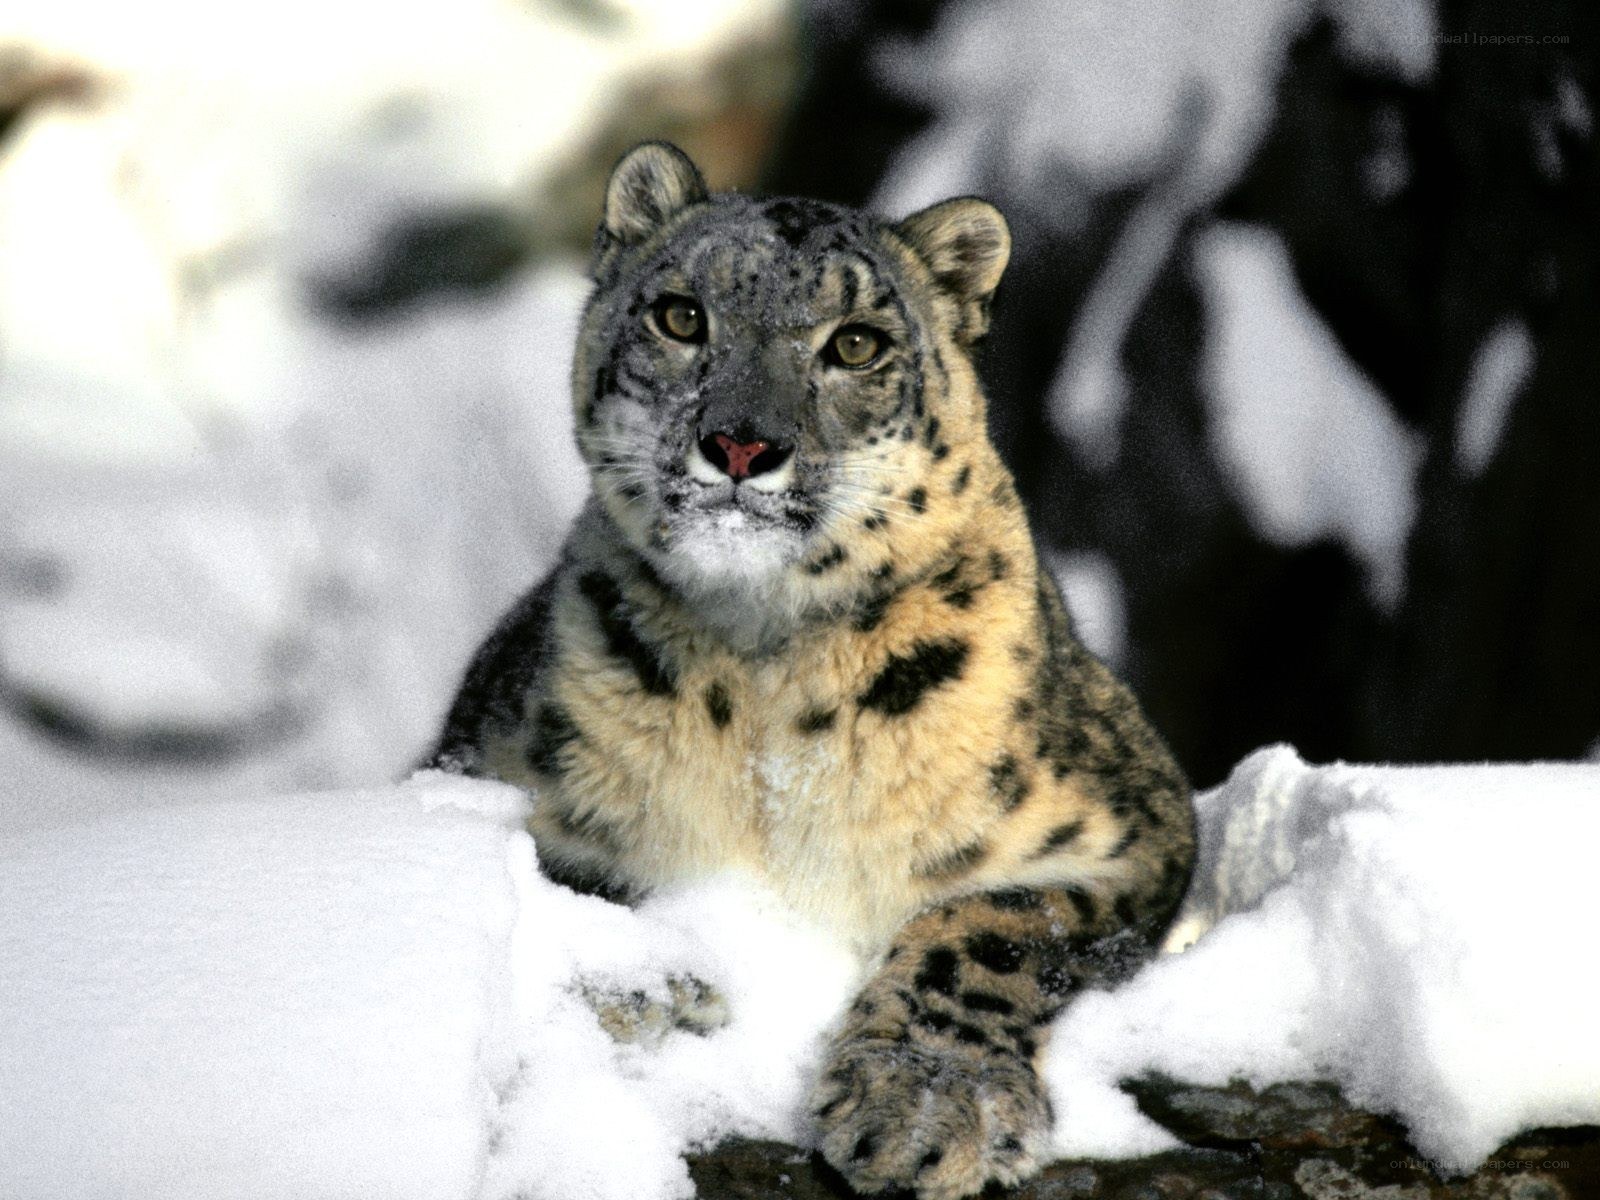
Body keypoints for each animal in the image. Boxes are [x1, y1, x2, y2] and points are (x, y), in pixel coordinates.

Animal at [428, 141, 1195, 1200]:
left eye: (858, 343)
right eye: (682, 316)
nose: (742, 443)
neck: (762, 683)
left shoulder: (1129, 821)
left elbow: (998, 920)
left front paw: (928, 1101)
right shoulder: (482, 769)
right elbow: (565, 877)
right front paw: (655, 982)